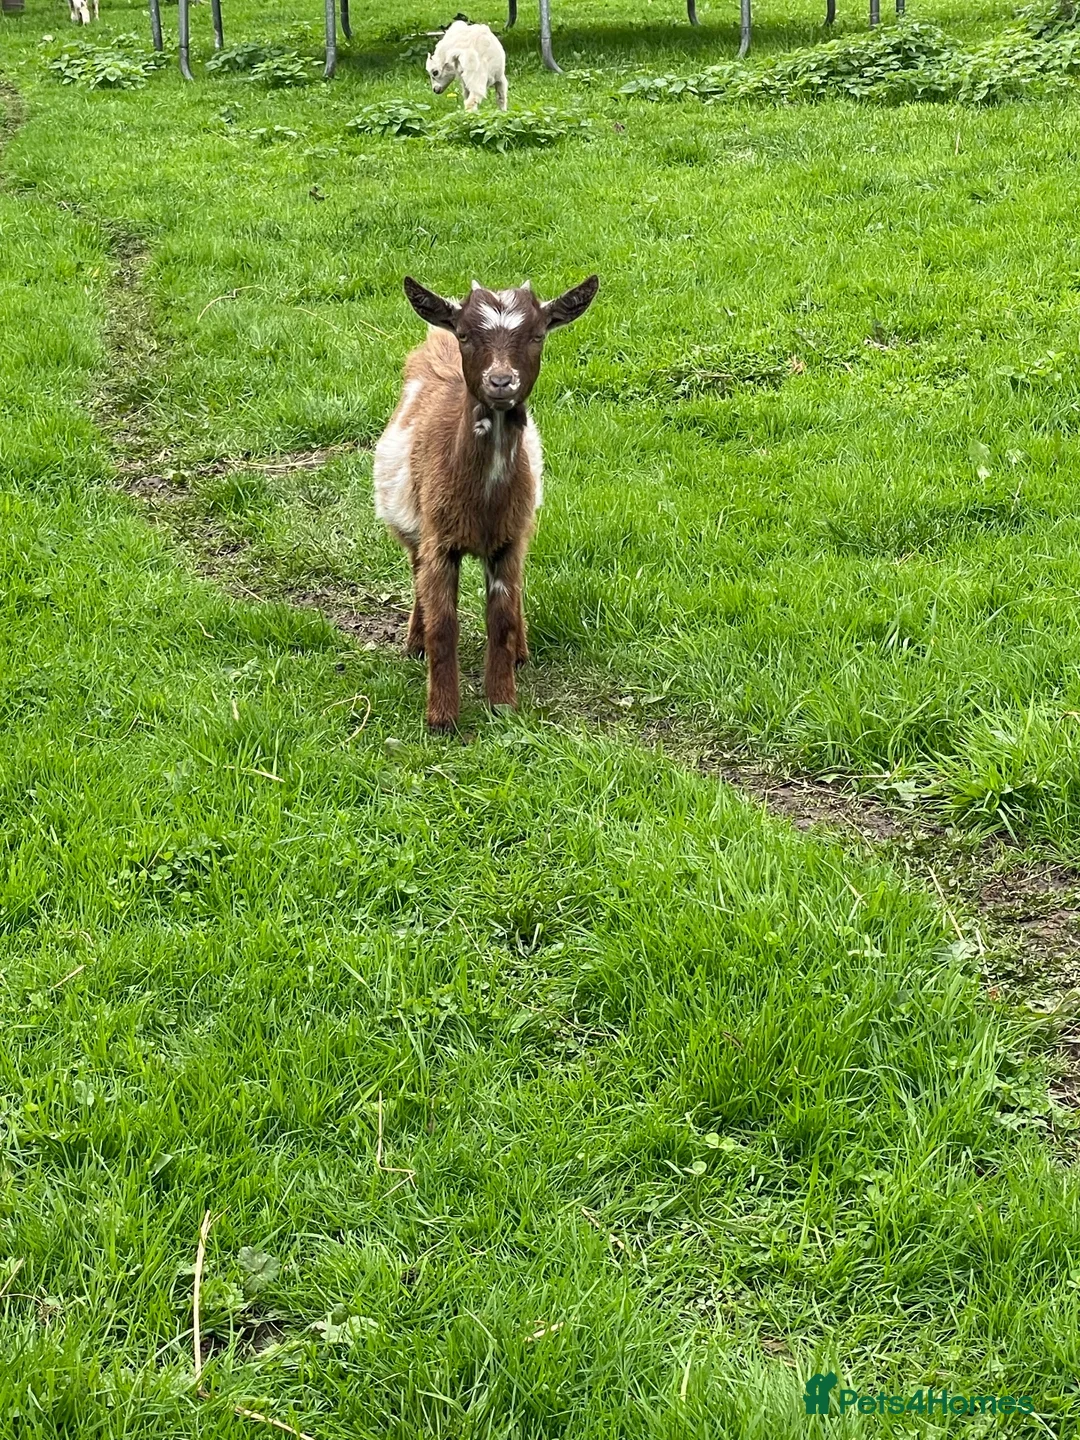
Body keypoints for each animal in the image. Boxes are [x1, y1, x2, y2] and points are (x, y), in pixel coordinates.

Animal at [374, 274, 599, 731]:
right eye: (465, 335)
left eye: (537, 335)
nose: (500, 382)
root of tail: (433, 338)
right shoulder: (439, 540)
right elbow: (444, 624)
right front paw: (442, 718)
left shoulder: (510, 539)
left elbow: (502, 618)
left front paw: (503, 704)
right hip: (411, 523)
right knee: (417, 575)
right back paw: (414, 643)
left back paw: (521, 653)